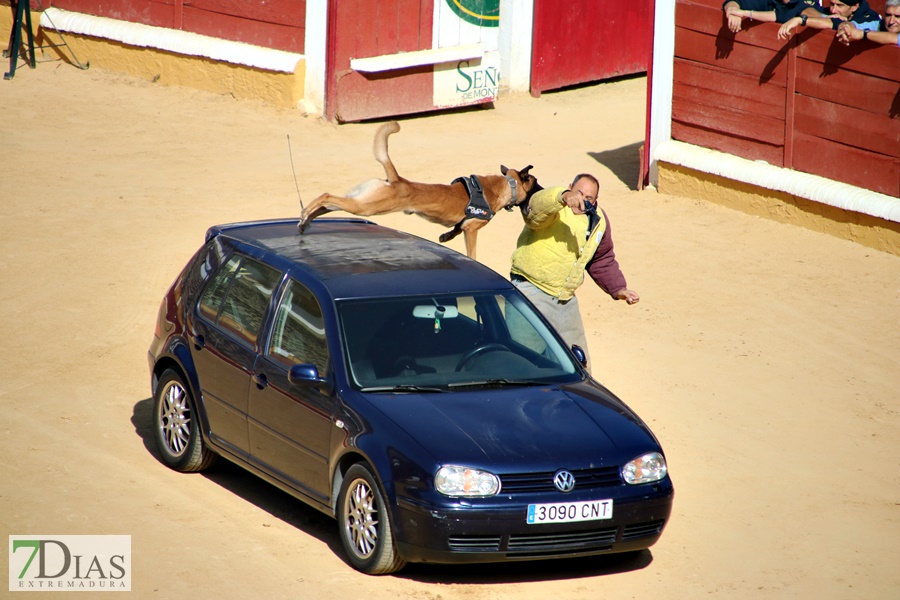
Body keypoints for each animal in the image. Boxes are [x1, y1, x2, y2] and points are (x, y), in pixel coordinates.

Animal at [296, 121, 536, 260]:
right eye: (535, 183)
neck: (506, 185)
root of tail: (397, 179)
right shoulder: (472, 230)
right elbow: (472, 252)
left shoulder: (463, 225)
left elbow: (454, 230)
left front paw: (445, 236)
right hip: (366, 207)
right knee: (326, 195)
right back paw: (305, 213)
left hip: (358, 200)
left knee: (327, 203)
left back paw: (305, 221)